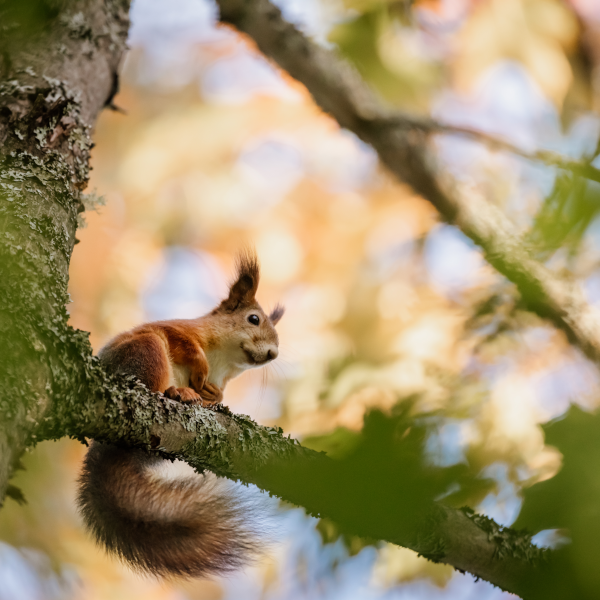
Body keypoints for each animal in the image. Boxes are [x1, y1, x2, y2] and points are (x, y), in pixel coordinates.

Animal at [77, 251, 284, 580]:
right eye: (253, 319)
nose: (273, 354)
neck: (223, 361)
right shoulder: (178, 330)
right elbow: (184, 344)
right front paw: (199, 372)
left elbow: (218, 392)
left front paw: (214, 396)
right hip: (146, 352)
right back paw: (176, 392)